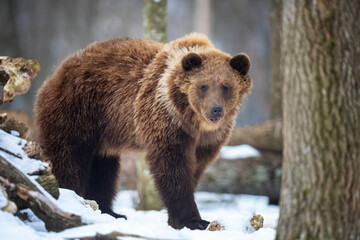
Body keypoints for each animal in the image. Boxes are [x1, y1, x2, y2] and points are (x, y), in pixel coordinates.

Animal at [35, 32, 252, 230]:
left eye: (226, 86)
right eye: (203, 86)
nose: (216, 109)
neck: (192, 121)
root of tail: (56, 73)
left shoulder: (207, 140)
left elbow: (195, 168)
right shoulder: (165, 120)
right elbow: (172, 167)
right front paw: (192, 220)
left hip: (103, 134)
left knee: (103, 169)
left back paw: (110, 211)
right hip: (77, 112)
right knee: (69, 158)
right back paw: (69, 198)